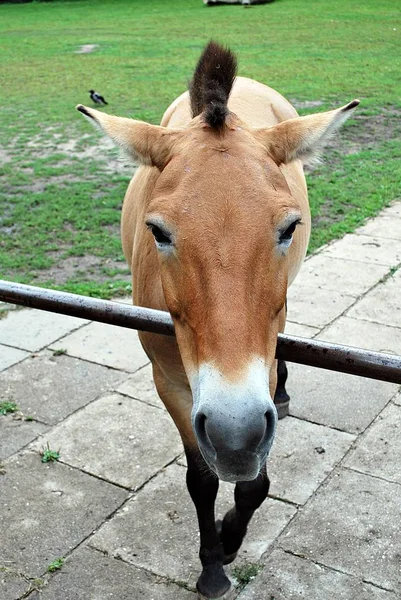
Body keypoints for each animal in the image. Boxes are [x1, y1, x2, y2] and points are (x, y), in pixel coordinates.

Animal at [76, 42, 358, 600]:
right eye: (158, 231)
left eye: (289, 226)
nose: (236, 433)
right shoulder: (171, 381)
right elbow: (204, 479)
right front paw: (212, 565)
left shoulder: (256, 374)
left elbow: (254, 483)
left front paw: (230, 539)